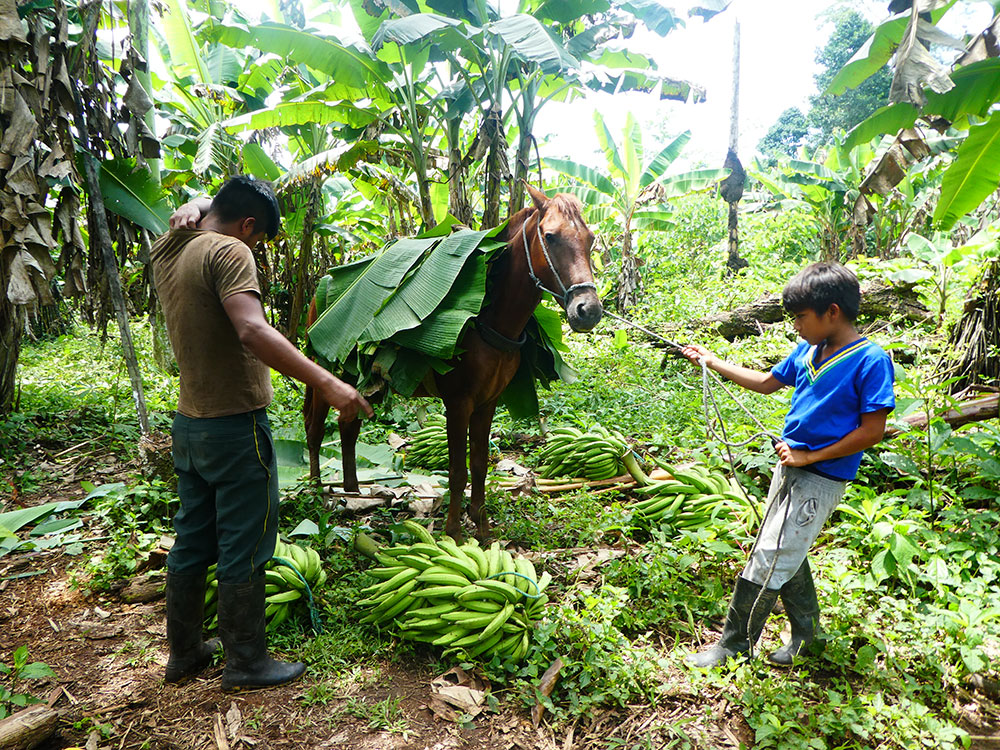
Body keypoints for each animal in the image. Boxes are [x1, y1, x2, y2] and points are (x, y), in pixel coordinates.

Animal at [302, 187, 600, 540]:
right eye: (550, 236)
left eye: (590, 238)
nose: (589, 310)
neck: (488, 317)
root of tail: (322, 287)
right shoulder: (458, 403)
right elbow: (458, 470)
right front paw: (454, 533)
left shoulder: (488, 402)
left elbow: (480, 465)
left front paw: (481, 527)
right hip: (324, 370)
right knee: (314, 428)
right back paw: (317, 492)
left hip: (359, 382)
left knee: (348, 427)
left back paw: (352, 493)